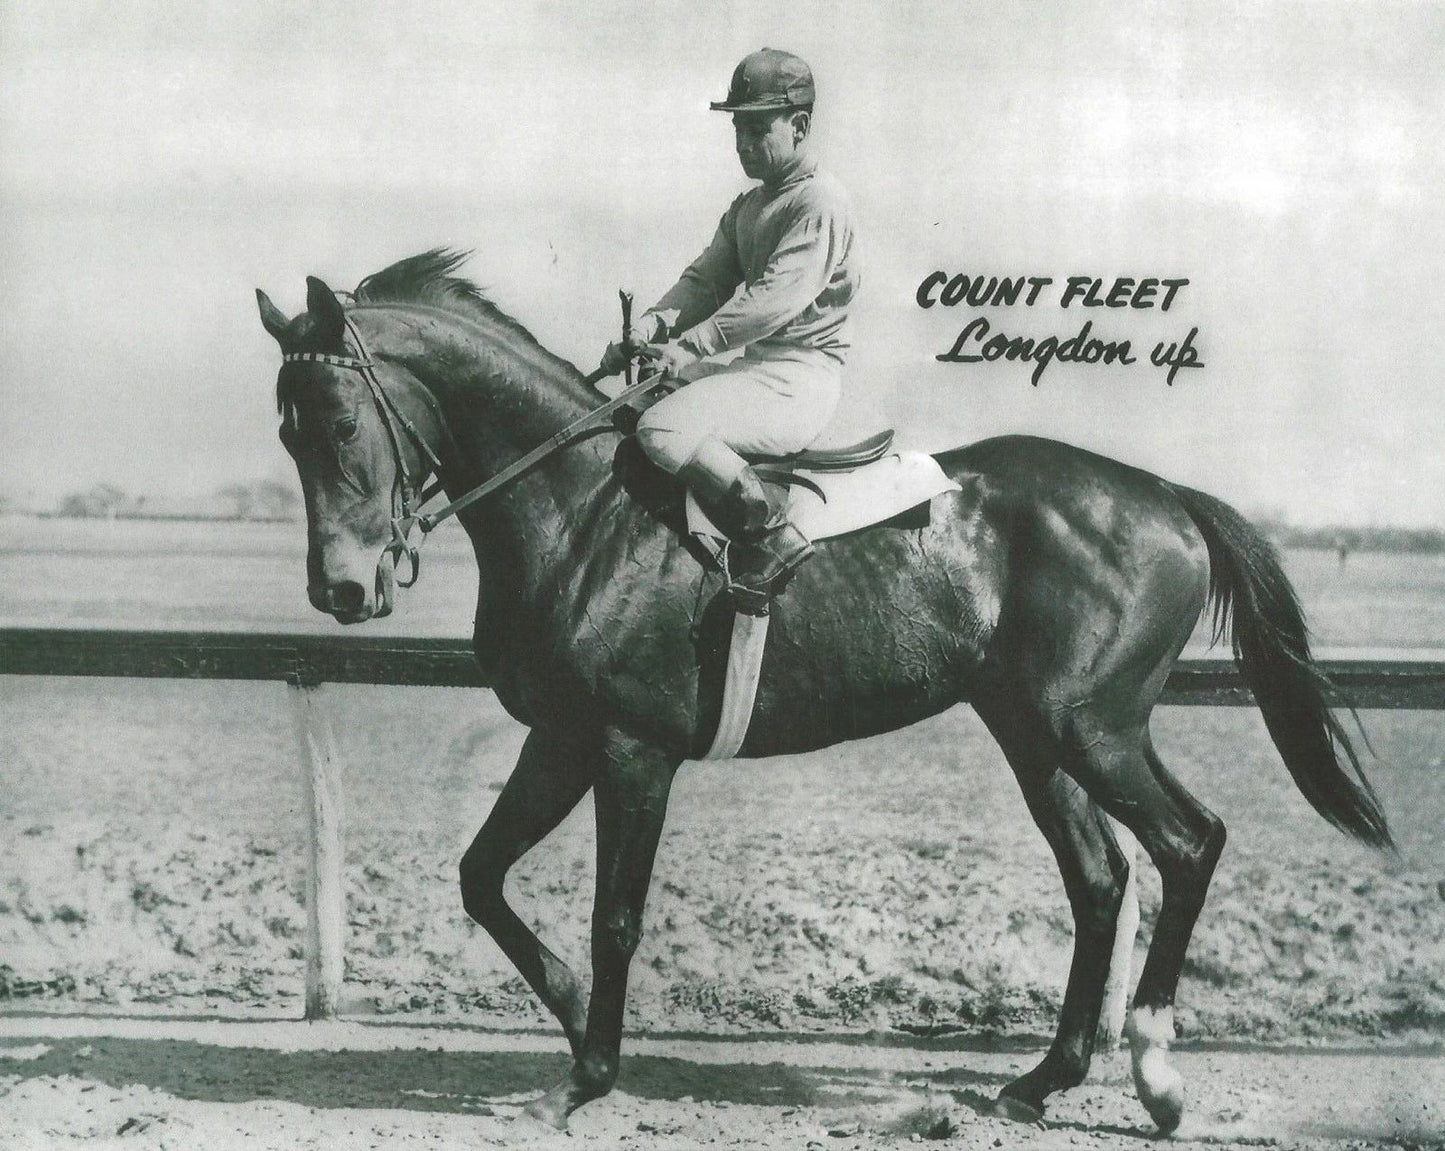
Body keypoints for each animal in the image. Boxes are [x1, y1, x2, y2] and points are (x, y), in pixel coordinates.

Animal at [256, 249, 1392, 1134]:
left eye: (342, 424)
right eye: (286, 433)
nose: (341, 589)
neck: (581, 511)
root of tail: (1166, 497)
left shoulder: (630, 747)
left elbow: (613, 914)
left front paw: (587, 1075)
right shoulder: (563, 738)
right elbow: (480, 875)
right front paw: (577, 1017)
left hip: (1092, 727)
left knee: (1188, 843)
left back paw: (1153, 1071)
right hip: (1032, 731)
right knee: (1101, 877)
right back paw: (1038, 1079)